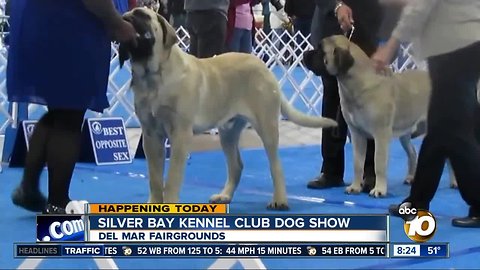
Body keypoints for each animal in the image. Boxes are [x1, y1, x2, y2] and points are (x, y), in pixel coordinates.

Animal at [119, 7, 338, 211]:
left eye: (141, 16)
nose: (125, 19)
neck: (154, 75)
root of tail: (264, 67)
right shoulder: (151, 137)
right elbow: (155, 178)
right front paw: (153, 205)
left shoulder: (180, 135)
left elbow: (171, 178)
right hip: (228, 132)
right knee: (236, 165)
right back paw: (224, 195)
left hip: (266, 127)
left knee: (276, 165)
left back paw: (279, 200)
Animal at [304, 34, 458, 197]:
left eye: (321, 51)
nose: (305, 54)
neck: (357, 84)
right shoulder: (357, 135)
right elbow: (358, 164)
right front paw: (355, 187)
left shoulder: (380, 135)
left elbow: (379, 163)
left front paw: (379, 189)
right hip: (405, 134)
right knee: (412, 153)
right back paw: (411, 177)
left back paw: (454, 182)